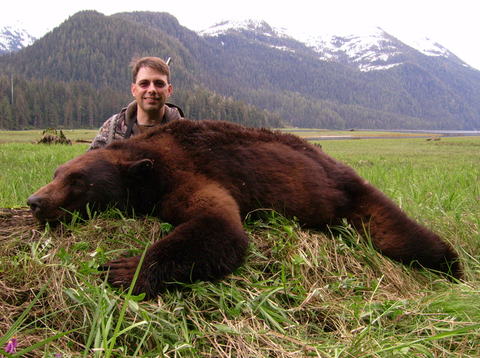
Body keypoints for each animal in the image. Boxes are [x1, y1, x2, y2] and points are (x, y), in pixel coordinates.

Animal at [27, 120, 462, 300]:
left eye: (78, 180)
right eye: (56, 172)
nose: (35, 201)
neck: (150, 159)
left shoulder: (187, 173)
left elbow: (221, 228)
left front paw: (126, 269)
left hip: (353, 197)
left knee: (399, 234)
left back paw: (454, 267)